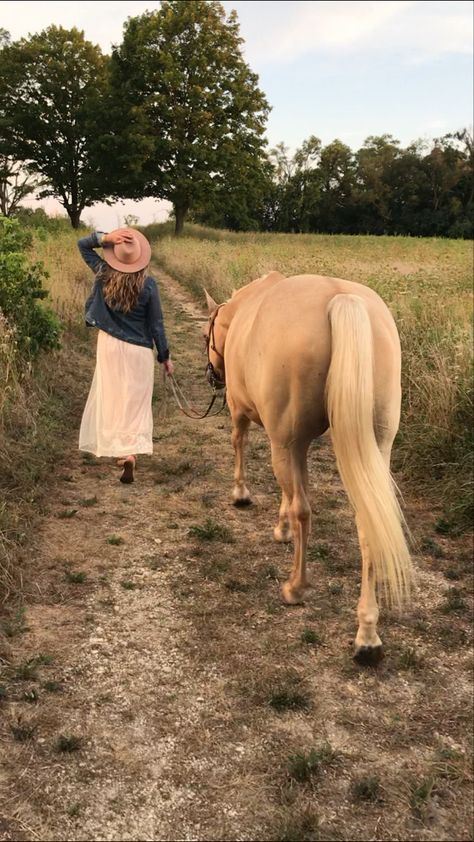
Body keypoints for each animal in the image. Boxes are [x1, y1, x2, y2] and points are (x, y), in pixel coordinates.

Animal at [206, 270, 412, 664]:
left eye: (208, 334)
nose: (213, 376)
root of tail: (342, 299)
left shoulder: (247, 417)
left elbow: (240, 446)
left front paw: (243, 496)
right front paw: (281, 528)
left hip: (287, 442)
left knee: (304, 509)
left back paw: (295, 588)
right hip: (375, 447)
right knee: (369, 524)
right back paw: (367, 635)